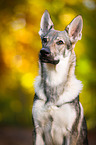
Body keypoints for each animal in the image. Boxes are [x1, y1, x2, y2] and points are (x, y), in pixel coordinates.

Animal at [32, 10, 88, 145]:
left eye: (60, 42)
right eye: (44, 40)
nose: (43, 52)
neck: (54, 81)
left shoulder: (70, 133)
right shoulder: (38, 131)